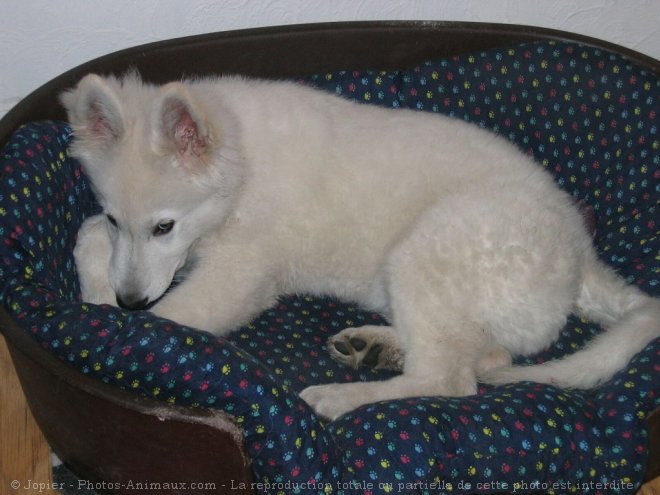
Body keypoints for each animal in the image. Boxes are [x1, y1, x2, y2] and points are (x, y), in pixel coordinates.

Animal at [63, 73, 660, 420]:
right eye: (117, 218)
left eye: (164, 227)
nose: (130, 300)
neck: (240, 166)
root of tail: (582, 254)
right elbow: (87, 236)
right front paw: (98, 296)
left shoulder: (238, 278)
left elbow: (164, 323)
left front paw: (115, 327)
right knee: (482, 358)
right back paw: (376, 346)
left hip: (427, 249)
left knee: (452, 379)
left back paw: (340, 397)